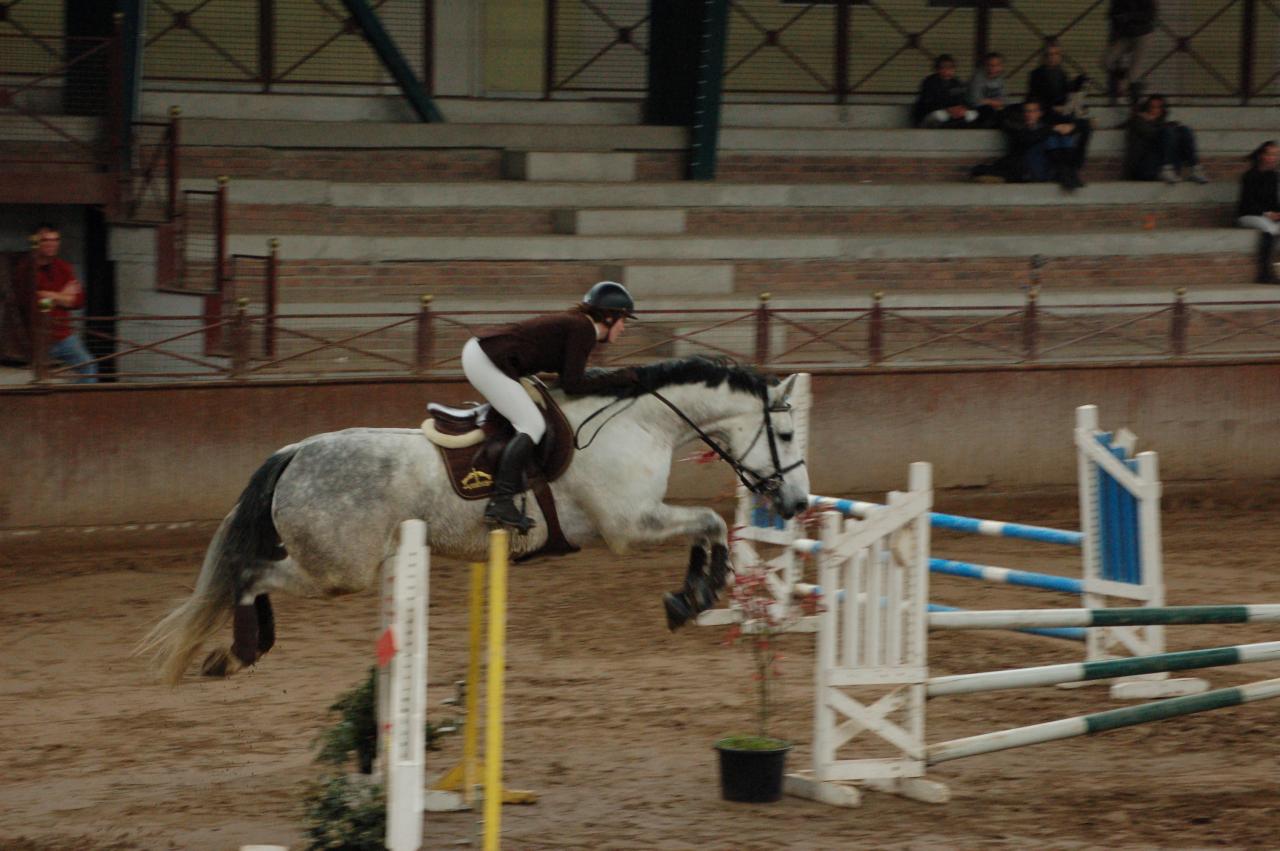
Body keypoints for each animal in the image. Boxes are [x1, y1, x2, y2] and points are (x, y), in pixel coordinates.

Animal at [137, 353, 808, 685]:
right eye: (785, 434)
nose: (798, 505)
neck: (638, 422)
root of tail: (296, 452)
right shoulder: (629, 525)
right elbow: (712, 523)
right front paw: (692, 596)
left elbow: (710, 526)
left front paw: (694, 594)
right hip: (340, 569)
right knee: (252, 574)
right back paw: (239, 654)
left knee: (251, 574)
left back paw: (238, 654)